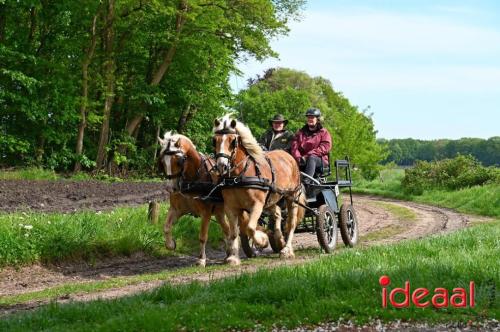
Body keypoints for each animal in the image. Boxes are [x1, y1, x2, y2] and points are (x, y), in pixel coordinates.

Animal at [157, 131, 231, 266]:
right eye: (162, 162)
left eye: (179, 161)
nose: (171, 188)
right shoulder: (176, 209)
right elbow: (166, 227)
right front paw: (171, 244)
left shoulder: (206, 212)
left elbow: (202, 236)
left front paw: (201, 259)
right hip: (219, 213)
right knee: (228, 230)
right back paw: (229, 253)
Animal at [211, 114, 304, 264]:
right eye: (215, 140)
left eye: (233, 141)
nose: (222, 166)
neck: (239, 175)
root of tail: (289, 157)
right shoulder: (231, 207)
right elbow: (234, 232)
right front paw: (233, 257)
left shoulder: (257, 205)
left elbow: (250, 227)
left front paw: (263, 241)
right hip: (271, 199)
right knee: (277, 213)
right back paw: (279, 239)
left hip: (292, 197)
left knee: (291, 223)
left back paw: (286, 250)